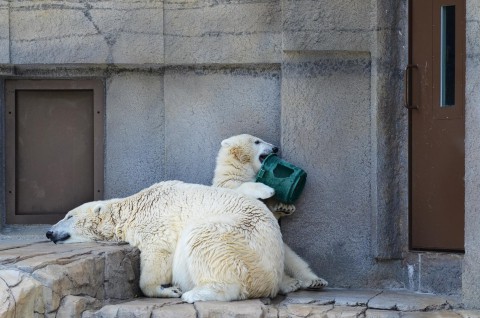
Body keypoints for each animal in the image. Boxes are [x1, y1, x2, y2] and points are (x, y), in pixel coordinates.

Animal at [45, 181, 284, 304]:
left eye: (68, 216)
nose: (48, 232)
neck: (134, 206)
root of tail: (272, 282)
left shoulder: (156, 221)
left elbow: (158, 253)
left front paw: (168, 290)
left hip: (240, 237)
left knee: (203, 240)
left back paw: (192, 294)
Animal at [213, 134, 328, 294]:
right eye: (257, 141)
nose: (275, 148)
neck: (238, 171)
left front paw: (285, 207)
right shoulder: (228, 188)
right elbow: (244, 194)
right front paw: (267, 190)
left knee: (293, 259)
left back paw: (314, 281)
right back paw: (290, 283)